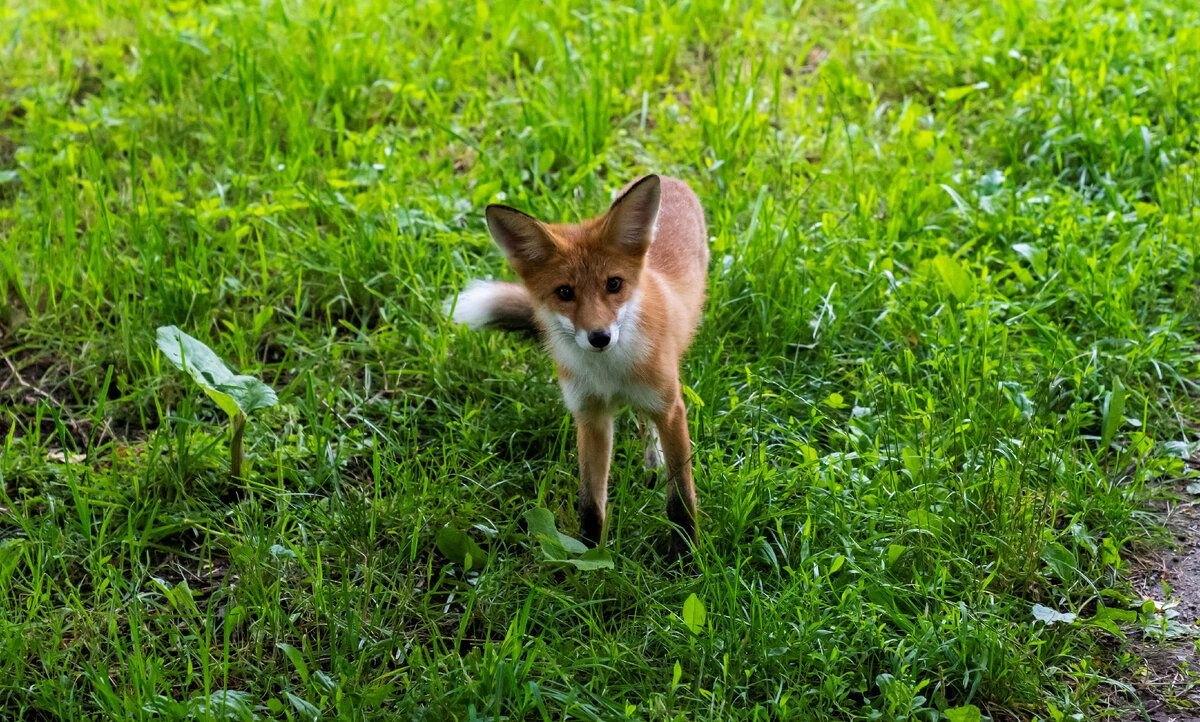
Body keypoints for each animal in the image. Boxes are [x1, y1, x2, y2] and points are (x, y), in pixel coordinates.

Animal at [451, 175, 710, 556]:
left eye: (614, 284)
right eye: (565, 292)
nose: (600, 337)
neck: (609, 373)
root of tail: (669, 177)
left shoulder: (670, 407)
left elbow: (681, 500)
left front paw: (686, 555)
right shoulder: (590, 416)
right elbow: (591, 505)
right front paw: (590, 557)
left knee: (647, 422)